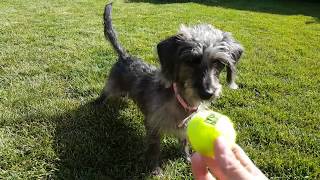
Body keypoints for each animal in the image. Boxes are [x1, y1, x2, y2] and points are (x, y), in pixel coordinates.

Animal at [96, 3, 244, 174]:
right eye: (191, 60)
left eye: (219, 63)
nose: (207, 93)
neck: (181, 100)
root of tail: (125, 57)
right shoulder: (154, 126)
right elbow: (154, 149)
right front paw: (154, 169)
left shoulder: (184, 127)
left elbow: (184, 143)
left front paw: (186, 158)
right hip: (112, 86)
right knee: (105, 92)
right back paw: (98, 104)